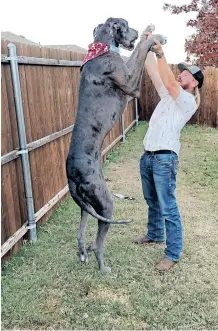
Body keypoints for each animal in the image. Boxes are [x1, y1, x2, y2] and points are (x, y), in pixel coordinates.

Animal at [65, 18, 166, 272]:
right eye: (126, 25)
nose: (137, 31)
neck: (101, 48)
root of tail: (71, 178)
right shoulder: (131, 83)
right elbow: (140, 50)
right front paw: (152, 37)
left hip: (88, 204)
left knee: (81, 234)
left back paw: (83, 253)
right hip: (105, 202)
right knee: (98, 243)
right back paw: (103, 267)